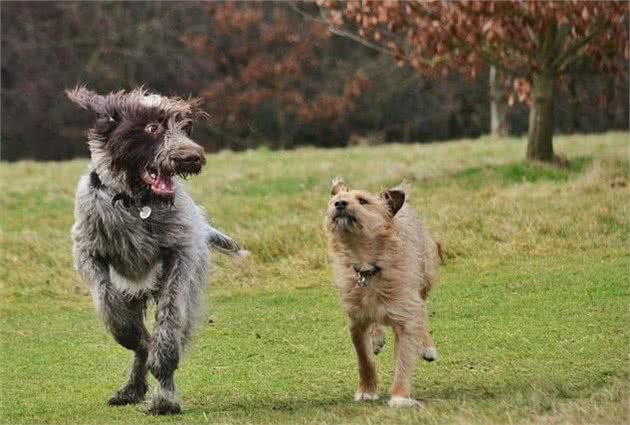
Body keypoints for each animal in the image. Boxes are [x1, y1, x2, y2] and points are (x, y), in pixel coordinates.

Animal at [66, 86, 244, 414]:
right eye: (151, 128)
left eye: (185, 127)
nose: (192, 157)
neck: (138, 203)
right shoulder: (88, 253)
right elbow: (108, 302)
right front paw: (129, 333)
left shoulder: (180, 256)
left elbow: (169, 320)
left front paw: (164, 387)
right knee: (138, 340)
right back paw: (133, 384)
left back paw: (161, 393)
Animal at [326, 176, 440, 408]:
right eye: (335, 199)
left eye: (363, 200)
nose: (339, 203)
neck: (368, 265)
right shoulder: (357, 322)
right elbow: (364, 360)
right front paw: (367, 390)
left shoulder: (404, 318)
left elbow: (403, 361)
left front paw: (400, 396)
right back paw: (377, 336)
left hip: (423, 280)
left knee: (421, 310)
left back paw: (427, 345)